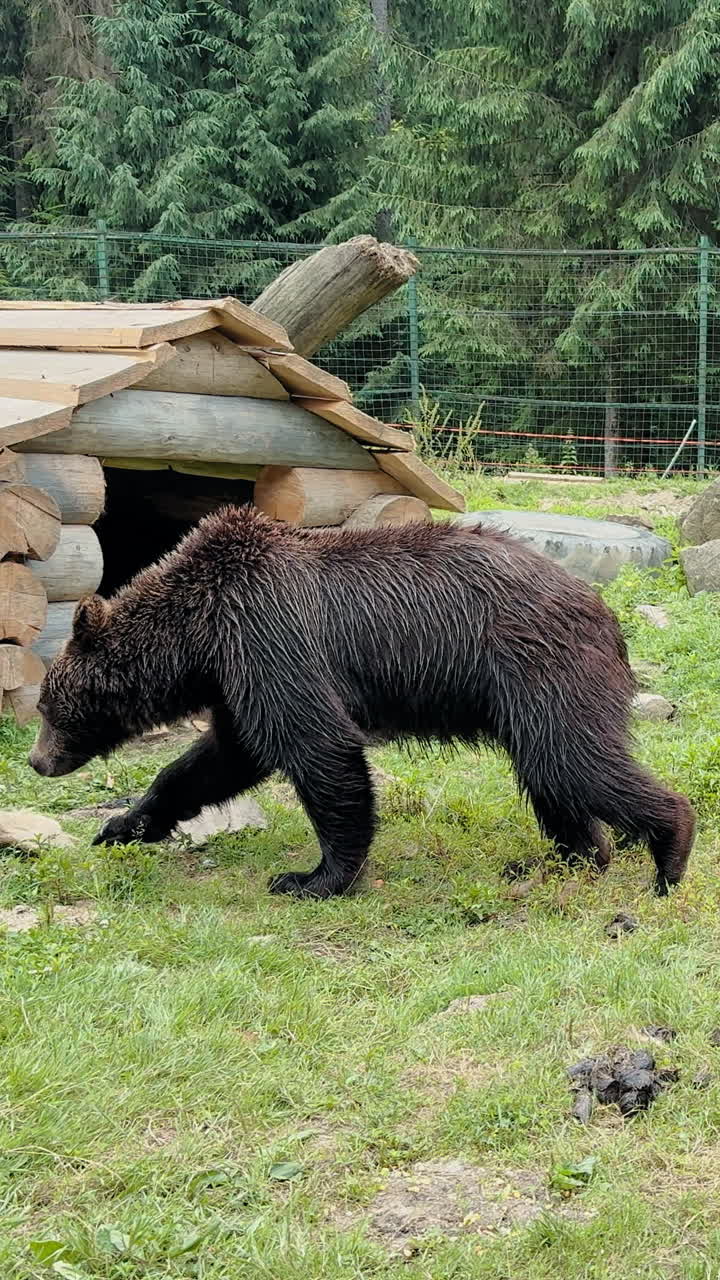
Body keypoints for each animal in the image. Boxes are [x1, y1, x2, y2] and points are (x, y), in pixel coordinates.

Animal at [29, 504, 694, 899]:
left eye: (45, 706)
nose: (38, 761)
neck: (200, 634)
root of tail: (605, 612)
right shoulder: (238, 679)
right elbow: (219, 760)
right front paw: (122, 825)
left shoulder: (271, 638)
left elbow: (321, 749)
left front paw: (311, 877)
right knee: (551, 775)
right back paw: (570, 858)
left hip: (540, 670)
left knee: (574, 762)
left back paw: (667, 856)